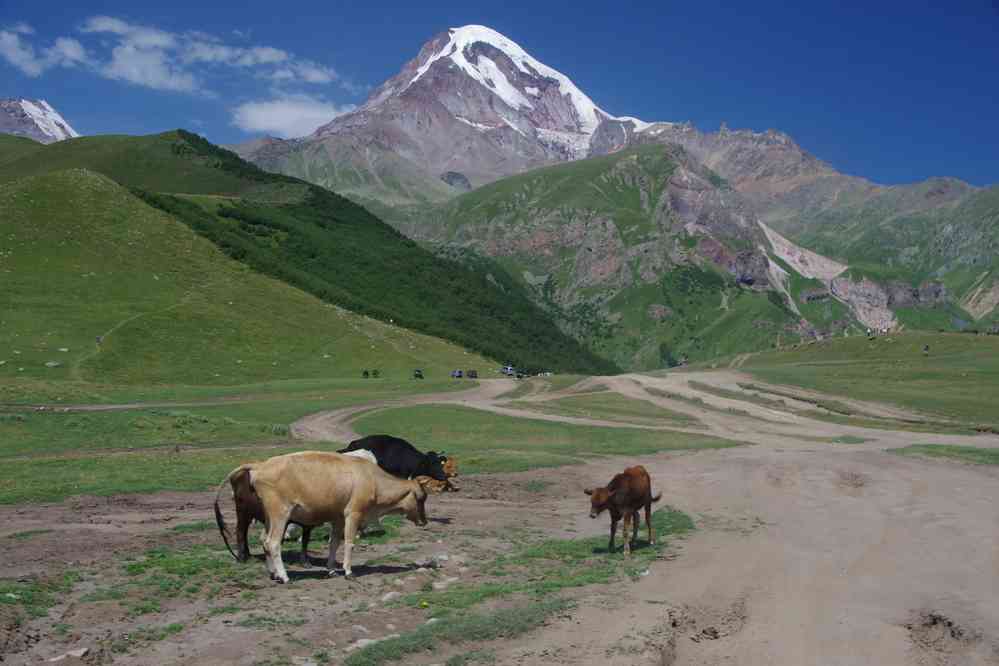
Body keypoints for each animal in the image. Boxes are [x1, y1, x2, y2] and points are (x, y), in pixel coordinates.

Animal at [214, 451, 427, 582]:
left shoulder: (338, 518)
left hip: (269, 517)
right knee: (272, 542)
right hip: (280, 514)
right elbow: (349, 542)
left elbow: (334, 543)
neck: (372, 478)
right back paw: (284, 576)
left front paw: (331, 569)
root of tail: (260, 466)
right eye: (421, 497)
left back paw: (273, 573)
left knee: (262, 539)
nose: (424, 521)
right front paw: (348, 571)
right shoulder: (353, 514)